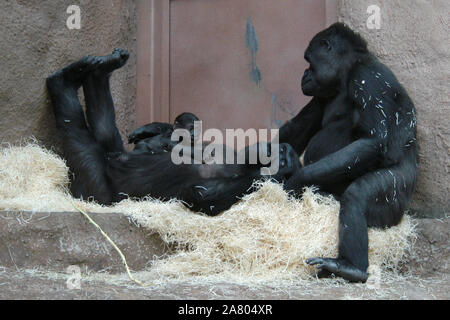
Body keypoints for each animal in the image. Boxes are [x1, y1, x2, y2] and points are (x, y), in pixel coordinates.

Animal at [278, 23, 418, 282]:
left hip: (398, 195)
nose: (304, 74)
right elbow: (296, 129)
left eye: (308, 60)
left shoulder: (367, 78)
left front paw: (296, 179)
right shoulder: (321, 92)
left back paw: (350, 267)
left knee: (357, 195)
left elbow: (372, 141)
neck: (346, 72)